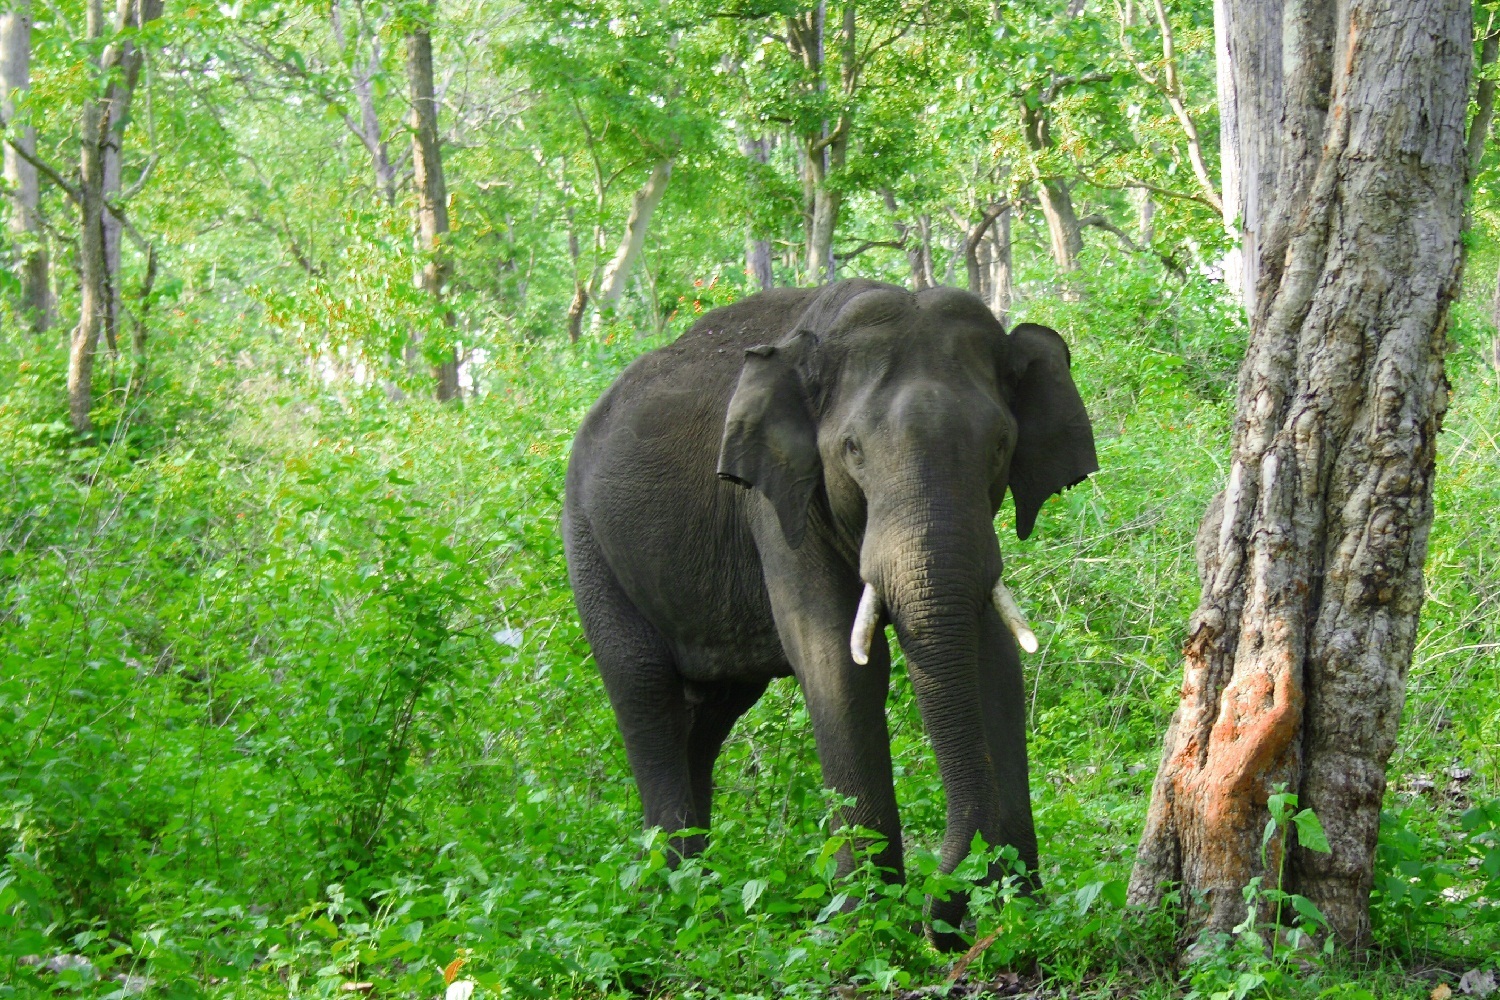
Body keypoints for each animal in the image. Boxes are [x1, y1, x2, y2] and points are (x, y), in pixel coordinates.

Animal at [567, 280, 1098, 947]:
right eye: (852, 450)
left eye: (1000, 444)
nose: (944, 930)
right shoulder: (775, 501)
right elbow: (835, 663)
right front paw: (866, 927)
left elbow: (994, 661)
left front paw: (1026, 917)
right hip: (591, 548)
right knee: (644, 695)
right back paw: (675, 903)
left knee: (706, 718)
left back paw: (700, 891)